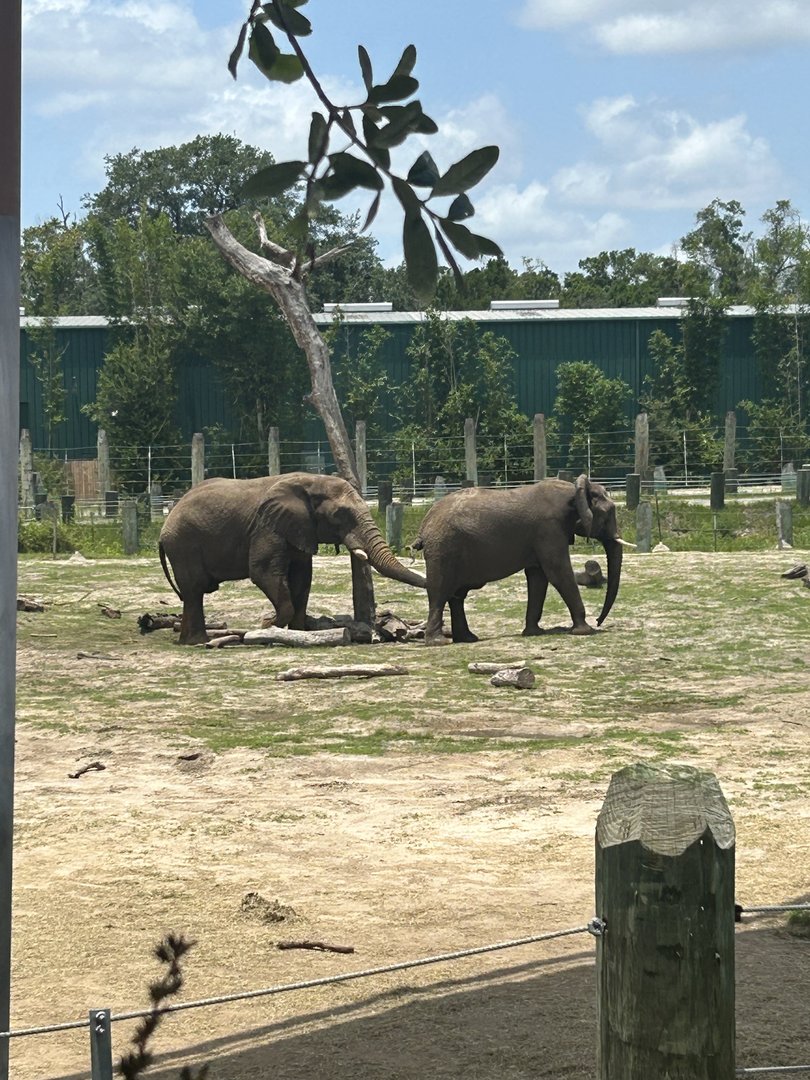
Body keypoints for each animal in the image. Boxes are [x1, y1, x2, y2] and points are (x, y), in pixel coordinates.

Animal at [158, 473, 426, 644]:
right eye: (340, 515)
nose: (415, 550)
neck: (311, 481)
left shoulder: (300, 529)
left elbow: (302, 577)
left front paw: (297, 632)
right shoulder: (267, 526)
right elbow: (263, 572)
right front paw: (268, 625)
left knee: (191, 594)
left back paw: (187, 641)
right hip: (183, 545)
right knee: (194, 589)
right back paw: (196, 642)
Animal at [413, 474, 629, 645]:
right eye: (607, 513)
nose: (599, 621)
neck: (573, 490)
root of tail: (424, 524)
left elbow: (538, 577)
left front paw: (534, 633)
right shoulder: (549, 530)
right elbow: (557, 572)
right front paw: (585, 631)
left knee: (457, 595)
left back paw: (467, 638)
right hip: (443, 549)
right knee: (439, 592)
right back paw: (438, 642)